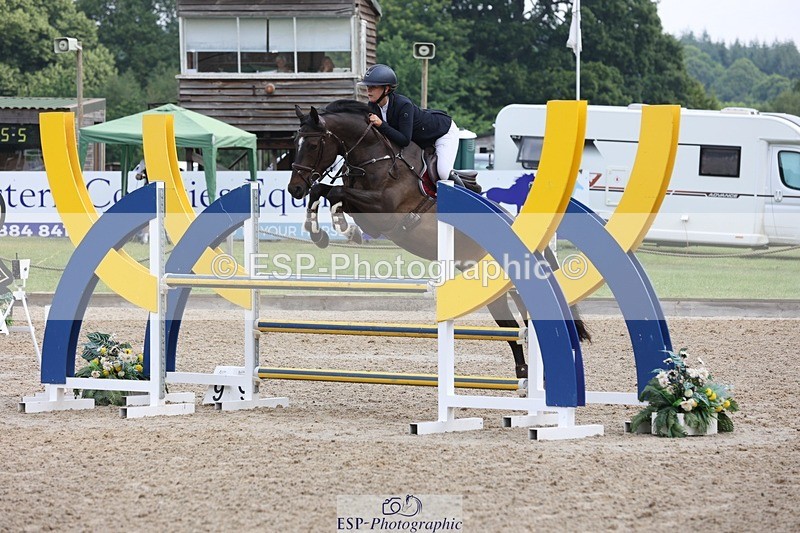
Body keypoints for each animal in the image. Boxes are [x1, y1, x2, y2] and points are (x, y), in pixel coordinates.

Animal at [287, 100, 589, 379]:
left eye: (312, 145)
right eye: (294, 142)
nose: (294, 189)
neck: (375, 158)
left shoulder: (385, 211)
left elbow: (334, 192)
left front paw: (341, 228)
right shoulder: (366, 209)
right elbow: (325, 191)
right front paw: (322, 233)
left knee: (524, 322)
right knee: (516, 326)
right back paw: (525, 371)